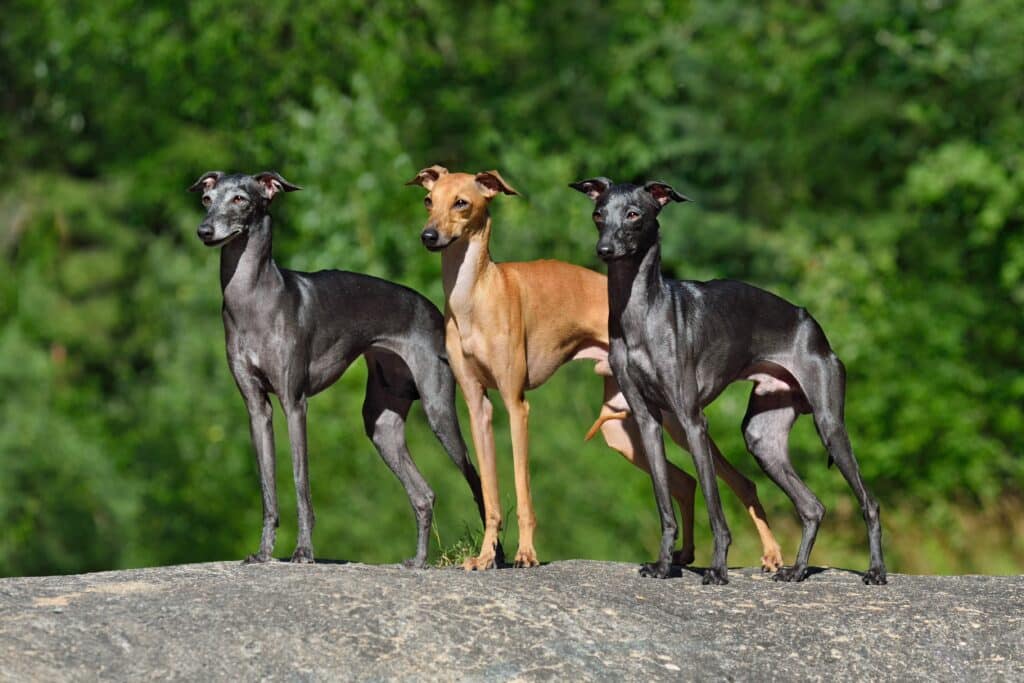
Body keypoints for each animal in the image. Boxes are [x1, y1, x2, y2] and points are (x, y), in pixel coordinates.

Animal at [403, 166, 778, 573]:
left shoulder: (517, 404)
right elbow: (489, 494)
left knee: (741, 482)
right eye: (428, 200)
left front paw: (526, 554)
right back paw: (682, 555)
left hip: (677, 420)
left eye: (462, 202)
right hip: (625, 430)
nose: (428, 236)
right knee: (685, 482)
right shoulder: (478, 406)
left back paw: (772, 556)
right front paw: (487, 555)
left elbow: (522, 487)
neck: (479, 294)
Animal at [573, 178, 884, 589]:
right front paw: (662, 565)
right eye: (598, 214)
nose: (604, 250)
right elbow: (664, 503)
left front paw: (718, 568)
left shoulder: (692, 421)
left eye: (634, 214)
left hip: (829, 423)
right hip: (763, 438)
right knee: (813, 506)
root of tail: (810, 323)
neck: (642, 312)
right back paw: (797, 570)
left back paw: (876, 571)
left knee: (869, 501)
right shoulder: (647, 420)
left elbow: (714, 506)